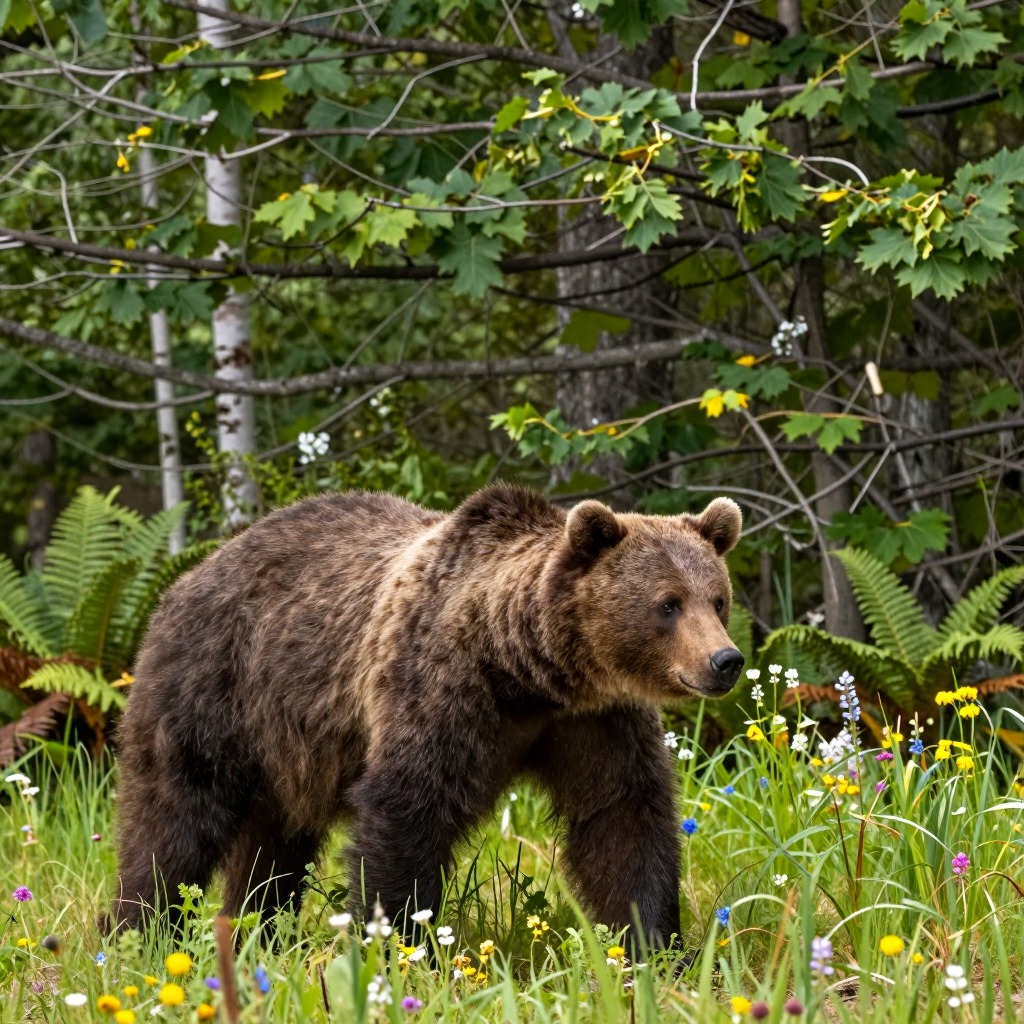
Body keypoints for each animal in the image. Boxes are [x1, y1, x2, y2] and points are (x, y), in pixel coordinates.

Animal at [112, 484, 744, 944]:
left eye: (716, 599)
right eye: (667, 604)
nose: (726, 660)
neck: (527, 672)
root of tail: (191, 574)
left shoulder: (593, 720)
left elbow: (623, 816)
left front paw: (656, 946)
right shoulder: (439, 687)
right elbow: (407, 809)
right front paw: (399, 943)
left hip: (285, 751)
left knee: (271, 848)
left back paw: (253, 931)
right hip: (213, 688)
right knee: (173, 823)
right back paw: (138, 930)